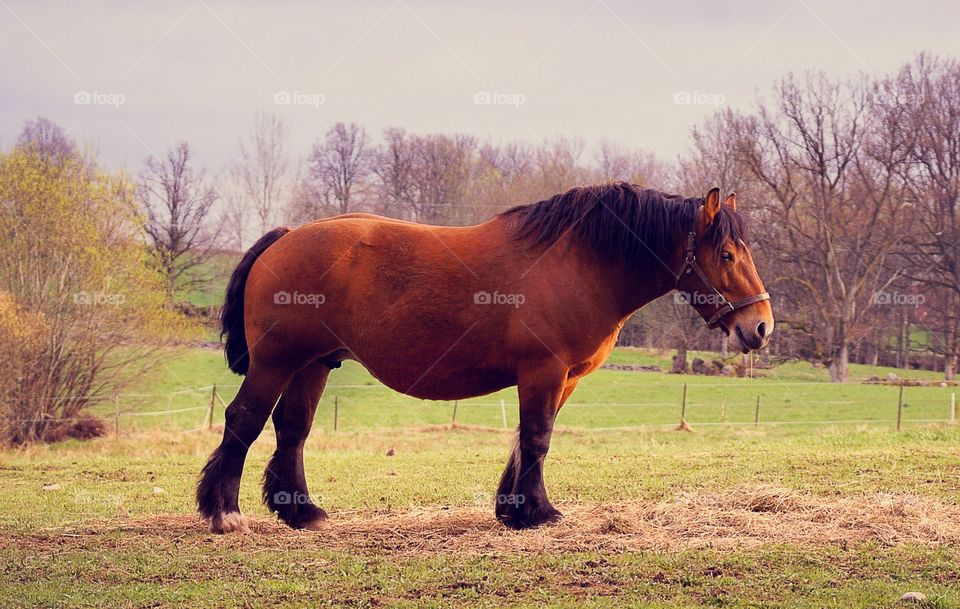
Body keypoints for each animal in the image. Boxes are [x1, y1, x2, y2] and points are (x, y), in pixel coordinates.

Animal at [195, 182, 772, 532]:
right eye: (726, 254)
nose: (761, 326)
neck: (581, 263)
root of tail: (286, 237)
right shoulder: (544, 371)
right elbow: (537, 438)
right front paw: (539, 511)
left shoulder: (562, 379)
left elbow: (525, 439)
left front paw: (512, 509)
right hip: (276, 362)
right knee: (244, 419)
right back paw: (224, 512)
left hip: (313, 364)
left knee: (292, 430)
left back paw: (301, 512)